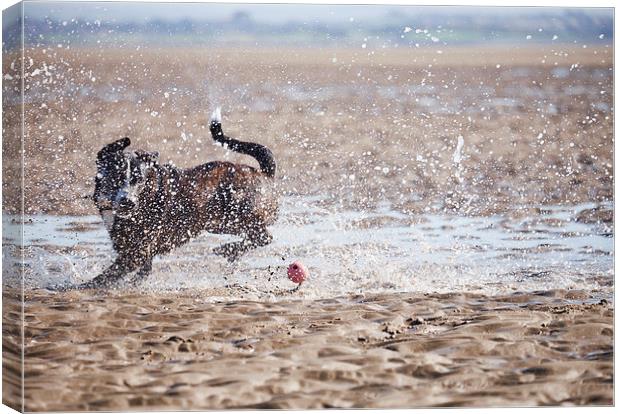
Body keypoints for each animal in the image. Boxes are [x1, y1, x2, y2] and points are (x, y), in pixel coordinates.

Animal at [81, 107, 280, 288]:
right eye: (116, 177)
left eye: (139, 180)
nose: (127, 201)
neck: (146, 195)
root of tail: (265, 173)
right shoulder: (141, 250)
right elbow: (144, 270)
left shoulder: (135, 253)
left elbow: (106, 277)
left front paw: (82, 286)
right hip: (220, 223)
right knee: (258, 237)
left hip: (239, 214)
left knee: (264, 237)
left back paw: (227, 249)